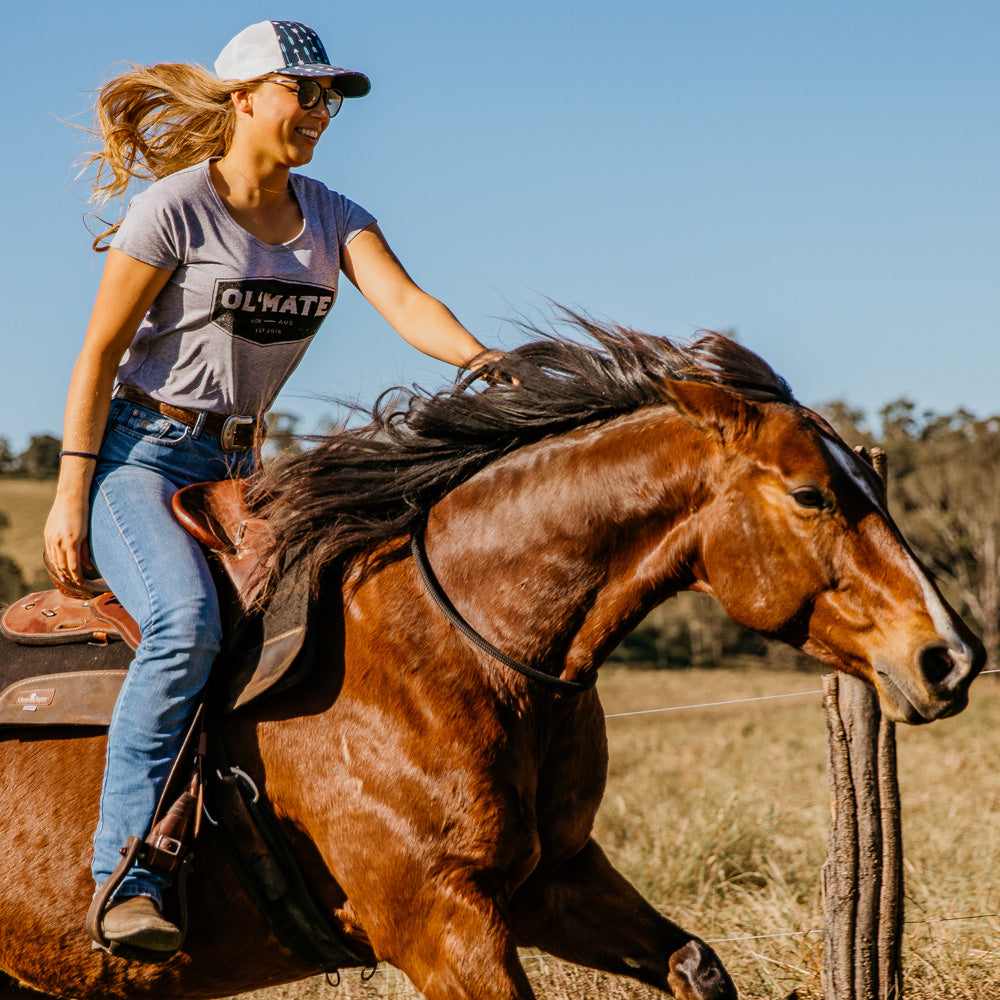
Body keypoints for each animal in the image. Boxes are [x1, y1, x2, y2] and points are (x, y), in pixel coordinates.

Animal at [0, 320, 984, 1000]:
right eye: (812, 494)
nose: (950, 658)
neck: (454, 656)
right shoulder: (442, 926)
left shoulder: (556, 879)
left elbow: (697, 966)